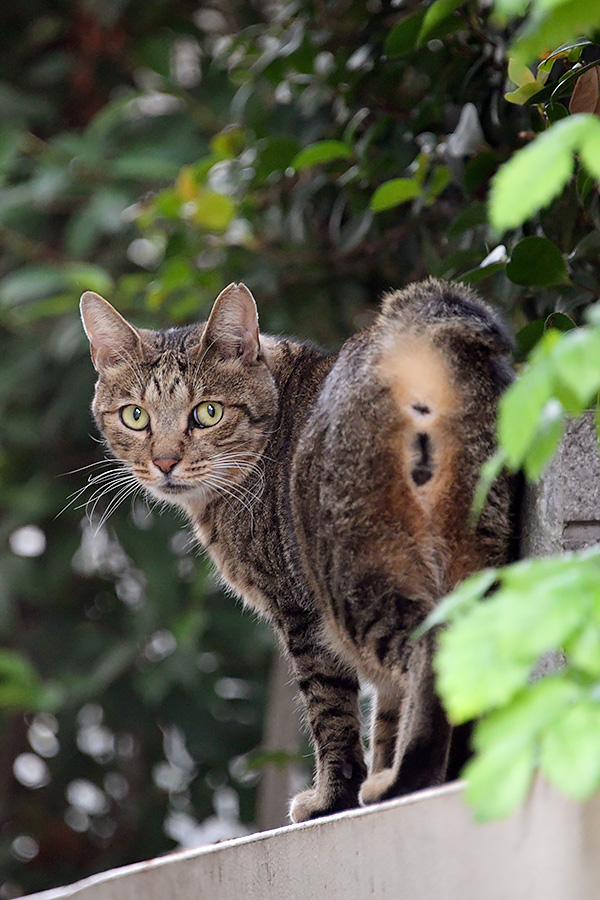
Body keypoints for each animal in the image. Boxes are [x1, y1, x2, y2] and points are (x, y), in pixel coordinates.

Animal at [78, 280, 516, 824]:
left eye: (208, 412)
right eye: (135, 416)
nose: (164, 462)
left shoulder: (299, 614)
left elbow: (331, 714)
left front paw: (333, 798)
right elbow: (386, 713)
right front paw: (373, 776)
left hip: (353, 579)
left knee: (429, 651)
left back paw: (406, 779)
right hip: (475, 550)